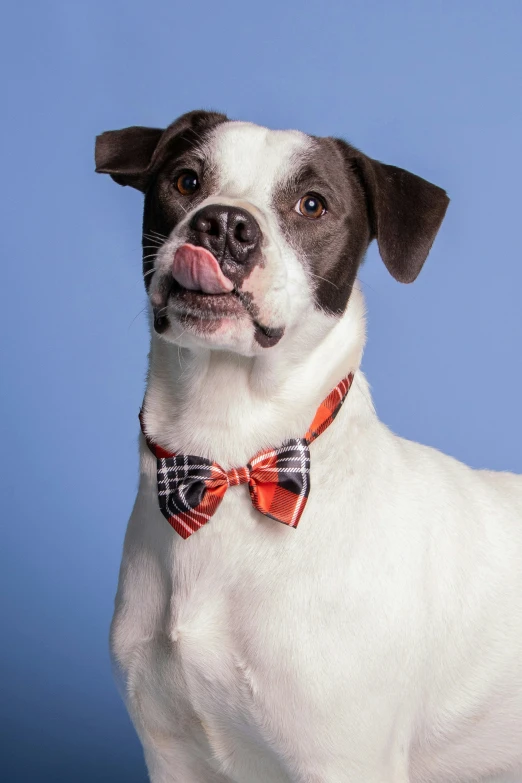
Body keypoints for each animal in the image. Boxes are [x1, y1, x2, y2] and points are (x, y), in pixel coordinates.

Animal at [94, 112, 520, 783]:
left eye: (312, 204)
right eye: (186, 181)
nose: (224, 224)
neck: (229, 454)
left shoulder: (343, 760)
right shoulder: (172, 756)